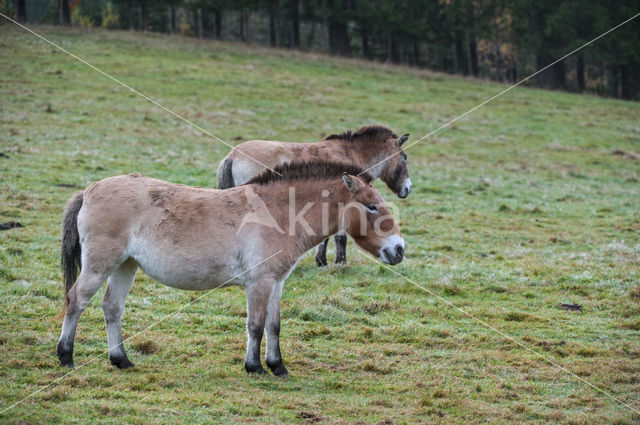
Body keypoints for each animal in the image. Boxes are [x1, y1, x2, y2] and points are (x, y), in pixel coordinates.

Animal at [57, 161, 402, 376]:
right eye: (372, 206)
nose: (398, 249)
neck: (277, 213)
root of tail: (89, 190)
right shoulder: (259, 282)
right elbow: (256, 325)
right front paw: (255, 367)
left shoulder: (277, 282)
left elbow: (274, 325)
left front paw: (278, 366)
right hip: (101, 265)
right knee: (76, 301)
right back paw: (65, 356)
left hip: (125, 266)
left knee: (112, 308)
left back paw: (121, 360)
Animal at [218, 124, 412, 266]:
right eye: (404, 157)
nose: (408, 188)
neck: (350, 153)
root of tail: (233, 155)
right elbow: (338, 238)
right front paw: (336, 262)